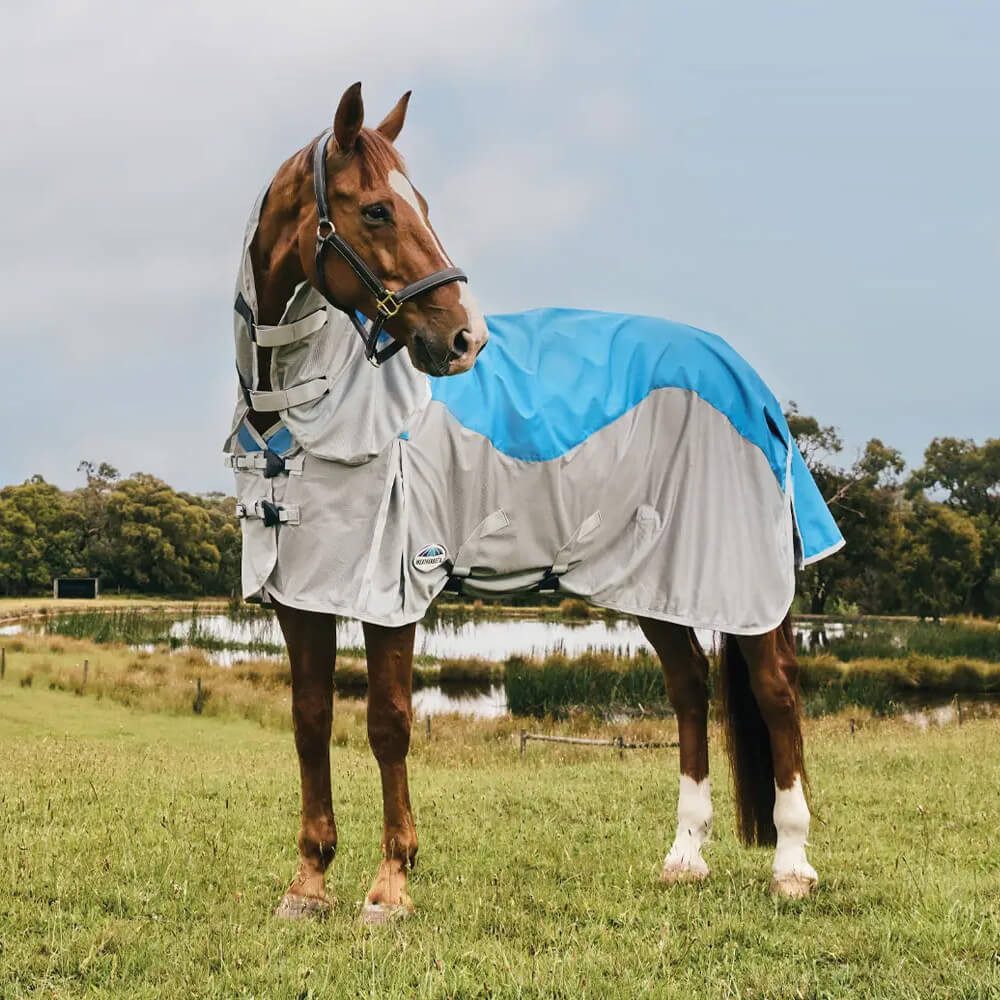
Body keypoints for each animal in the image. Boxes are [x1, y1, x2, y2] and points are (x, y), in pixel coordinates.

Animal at [226, 82, 842, 922]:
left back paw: (793, 865)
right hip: (657, 582)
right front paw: (309, 882)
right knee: (690, 690)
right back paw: (684, 857)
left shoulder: (394, 589)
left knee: (778, 696)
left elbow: (388, 724)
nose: (465, 339)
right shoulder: (301, 592)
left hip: (747, 582)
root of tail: (742, 376)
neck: (303, 413)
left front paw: (390, 885)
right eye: (378, 209)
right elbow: (310, 720)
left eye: (420, 203)